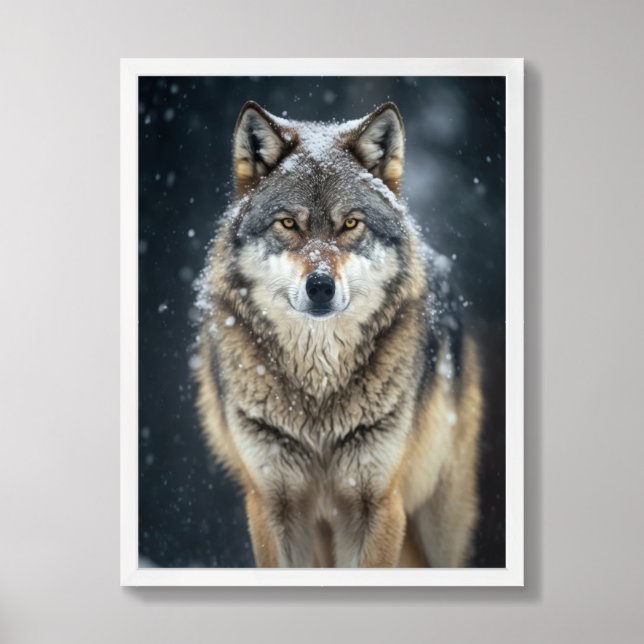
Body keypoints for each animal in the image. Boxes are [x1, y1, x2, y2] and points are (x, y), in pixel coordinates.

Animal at [194, 100, 483, 568]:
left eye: (350, 224)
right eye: (288, 223)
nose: (320, 286)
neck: (319, 390)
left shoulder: (379, 504)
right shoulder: (271, 503)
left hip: (439, 524)